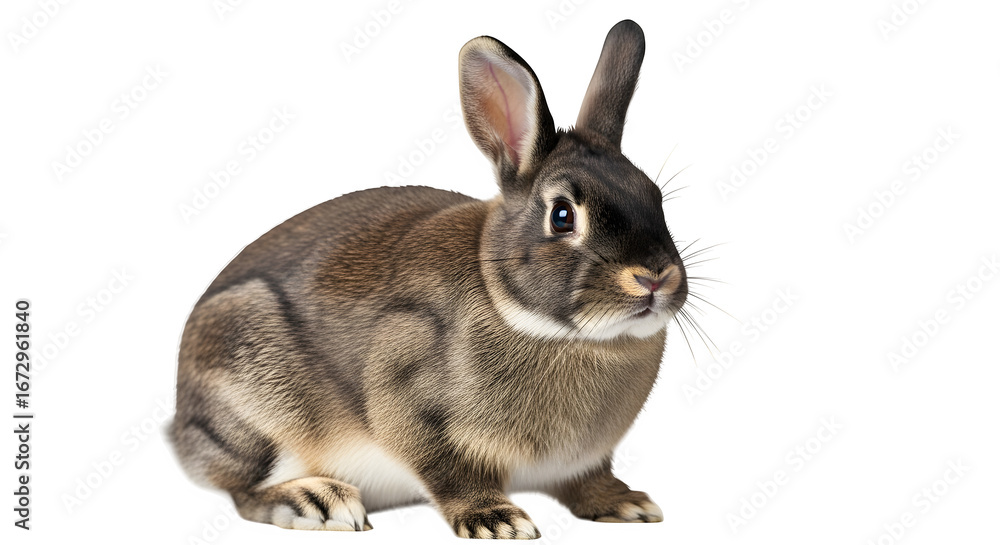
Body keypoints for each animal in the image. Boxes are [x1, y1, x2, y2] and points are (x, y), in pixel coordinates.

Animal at [169, 19, 687, 539]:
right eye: (563, 216)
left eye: (656, 197)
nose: (655, 277)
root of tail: (180, 424)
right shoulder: (405, 385)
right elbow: (448, 470)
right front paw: (497, 521)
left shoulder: (584, 461)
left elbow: (589, 479)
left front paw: (627, 504)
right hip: (254, 404)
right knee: (244, 490)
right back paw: (318, 501)